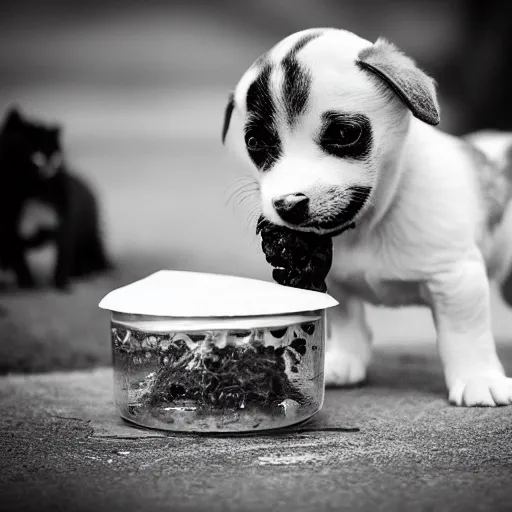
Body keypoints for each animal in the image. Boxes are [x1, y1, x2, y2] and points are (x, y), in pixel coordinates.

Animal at [0, 106, 111, 290]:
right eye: (35, 155)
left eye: (55, 157)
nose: (49, 168)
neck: (33, 193)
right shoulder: (10, 228)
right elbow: (20, 261)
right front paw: (28, 285)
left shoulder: (63, 221)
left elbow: (62, 256)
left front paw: (62, 285)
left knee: (90, 254)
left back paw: (85, 272)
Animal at [222, 29, 512, 408]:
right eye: (255, 142)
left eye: (344, 135)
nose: (288, 205)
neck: (374, 220)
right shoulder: (330, 279)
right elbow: (347, 321)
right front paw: (346, 359)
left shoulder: (457, 279)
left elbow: (465, 334)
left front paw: (479, 378)